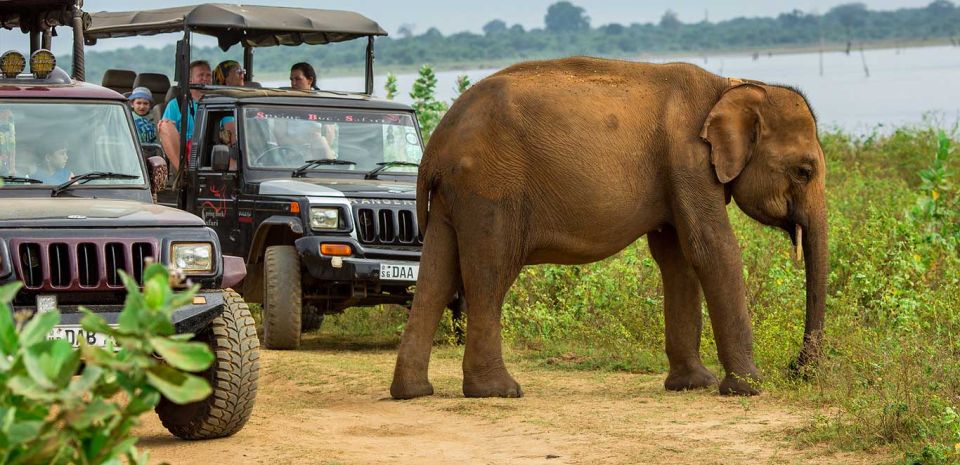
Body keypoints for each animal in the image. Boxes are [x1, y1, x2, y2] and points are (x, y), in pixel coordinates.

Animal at [390, 56, 824, 398]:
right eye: (804, 171)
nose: (799, 369)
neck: (731, 85)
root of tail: (436, 146)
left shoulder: (677, 172)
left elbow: (677, 259)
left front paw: (693, 384)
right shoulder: (689, 160)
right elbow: (712, 248)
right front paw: (749, 388)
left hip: (454, 195)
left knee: (436, 274)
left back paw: (413, 392)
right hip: (489, 187)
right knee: (490, 274)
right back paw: (498, 391)